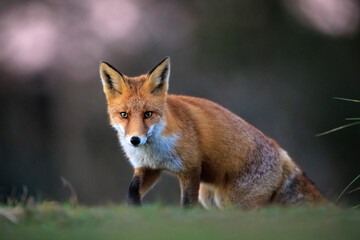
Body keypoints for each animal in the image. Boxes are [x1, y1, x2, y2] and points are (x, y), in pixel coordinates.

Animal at [98, 57, 326, 209]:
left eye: (148, 114)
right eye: (124, 115)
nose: (135, 140)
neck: (155, 150)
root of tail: (282, 153)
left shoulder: (190, 169)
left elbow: (187, 205)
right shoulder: (149, 169)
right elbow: (132, 192)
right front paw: (135, 211)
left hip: (234, 201)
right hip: (210, 197)